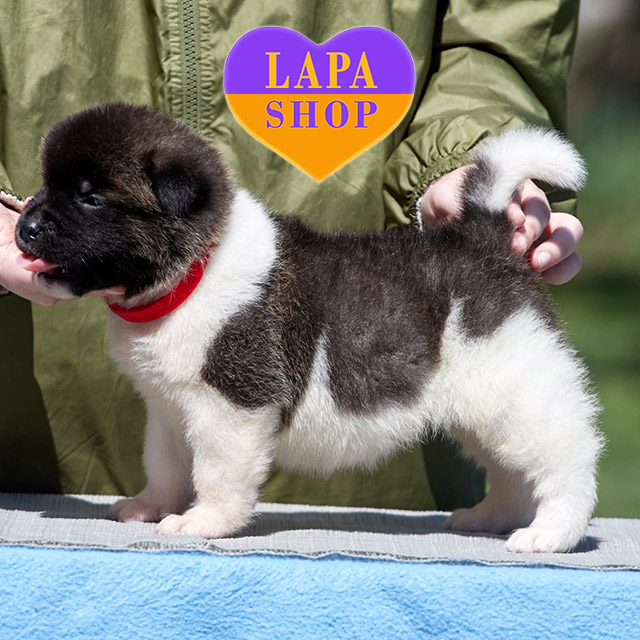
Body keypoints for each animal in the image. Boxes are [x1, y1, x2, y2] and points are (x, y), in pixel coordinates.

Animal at [16, 103, 602, 552]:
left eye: (91, 197)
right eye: (46, 185)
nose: (23, 225)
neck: (194, 271)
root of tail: (484, 236)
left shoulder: (233, 405)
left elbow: (216, 471)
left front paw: (205, 522)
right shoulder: (168, 408)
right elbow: (165, 465)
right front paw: (150, 507)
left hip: (513, 388)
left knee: (564, 460)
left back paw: (551, 533)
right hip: (484, 408)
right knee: (510, 471)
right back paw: (490, 518)